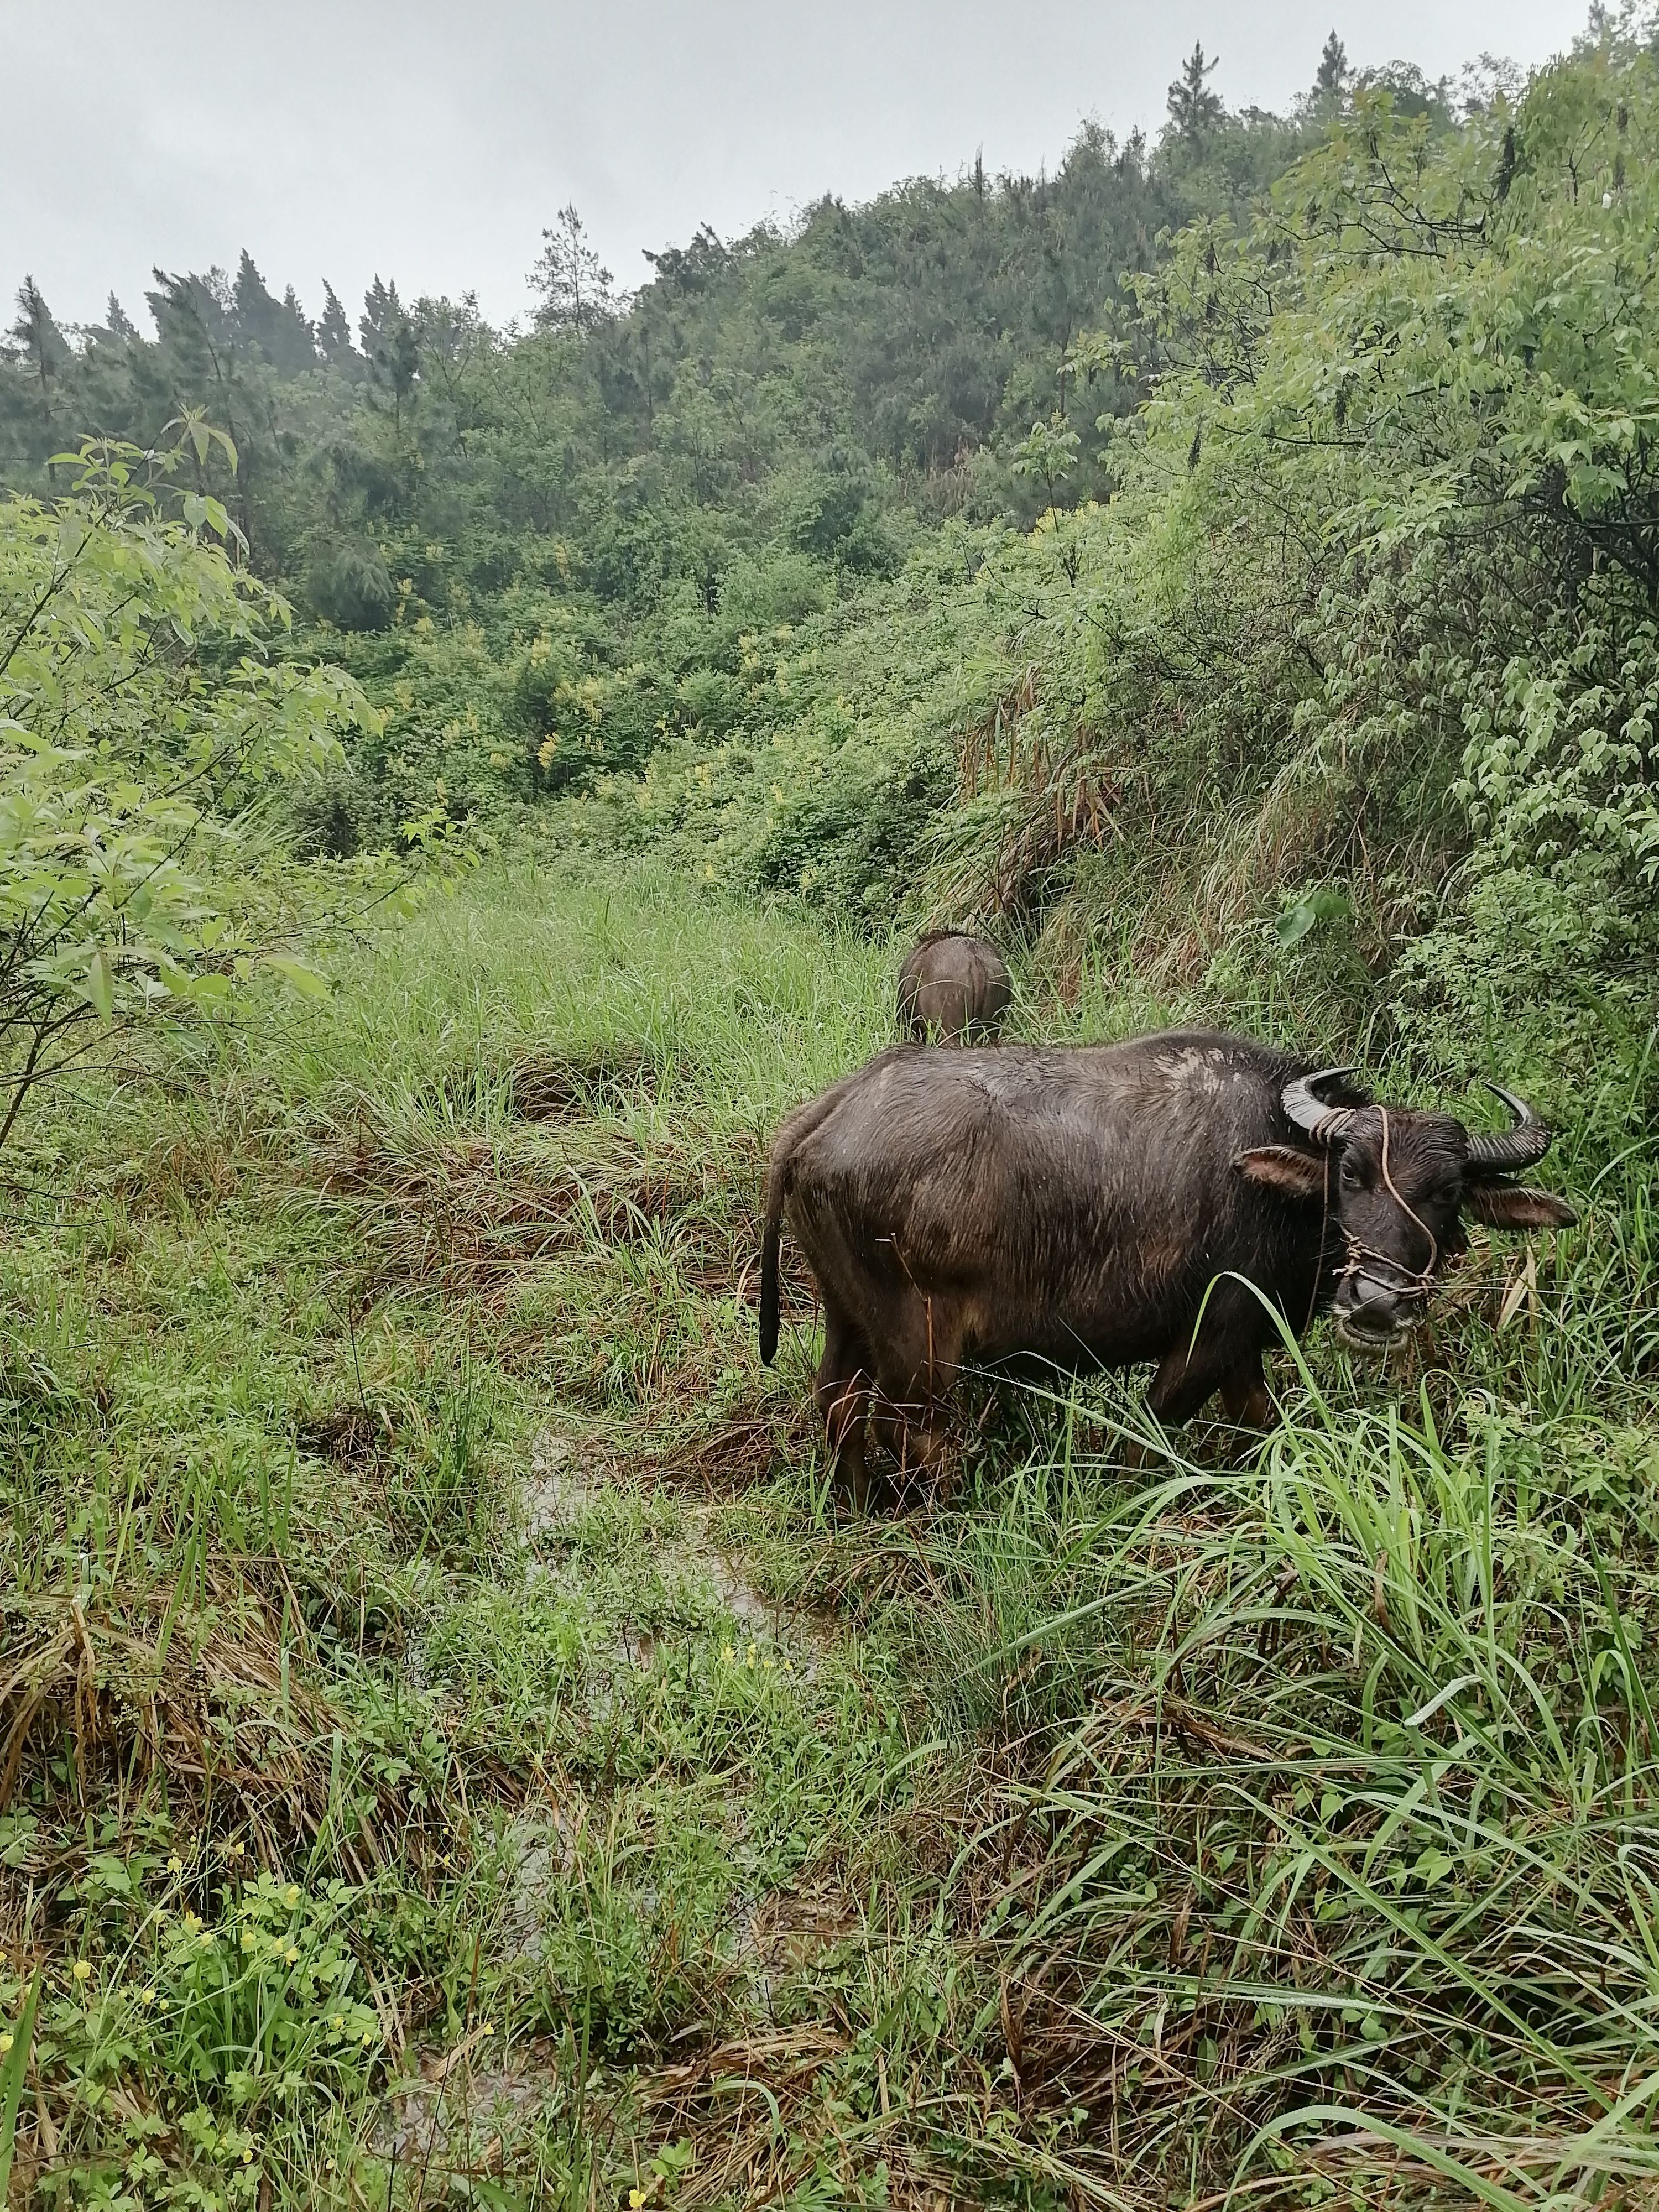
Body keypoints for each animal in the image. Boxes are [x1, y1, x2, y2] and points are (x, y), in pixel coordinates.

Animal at [761, 1031, 1575, 1504]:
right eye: (1350, 1175)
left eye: (1447, 1193)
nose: (1376, 1303)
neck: (1279, 1186)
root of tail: (833, 1112)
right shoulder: (1207, 1337)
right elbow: (1147, 1442)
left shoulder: (1245, 1344)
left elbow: (1262, 1427)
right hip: (919, 1340)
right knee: (910, 1430)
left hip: (850, 1315)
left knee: (836, 1403)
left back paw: (859, 1506)